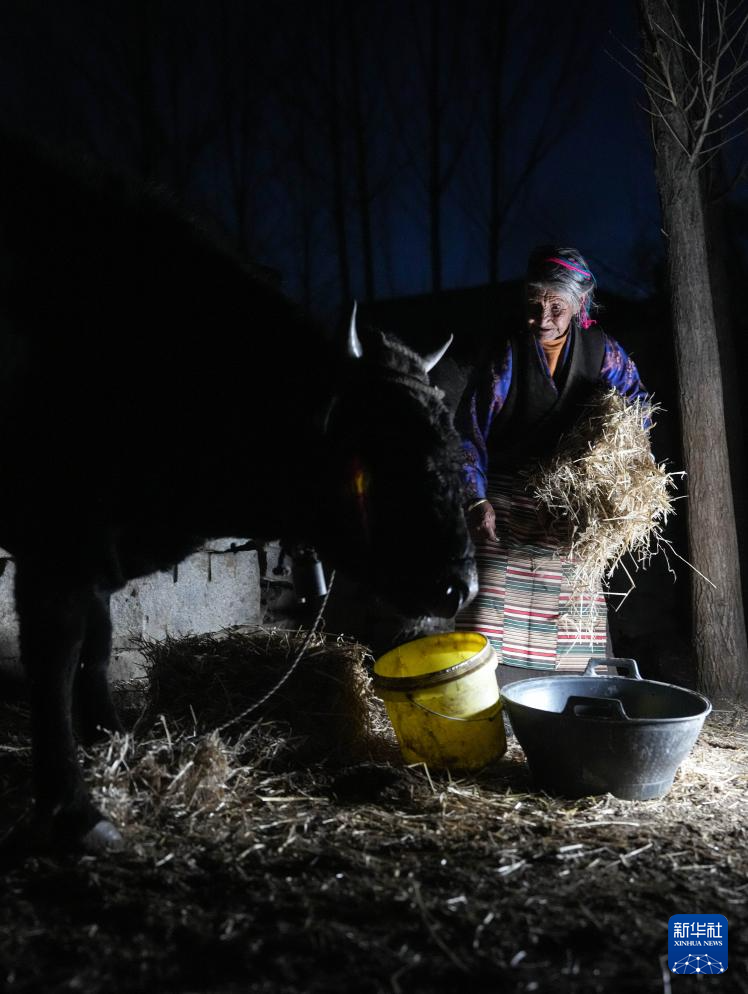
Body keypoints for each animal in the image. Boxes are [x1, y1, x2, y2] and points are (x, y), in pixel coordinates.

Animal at [0, 133, 477, 857]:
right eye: (381, 453)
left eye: (453, 444)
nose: (460, 586)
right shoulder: (58, 537)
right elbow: (57, 657)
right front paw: (74, 809)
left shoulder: (98, 549)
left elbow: (99, 645)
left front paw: (108, 736)